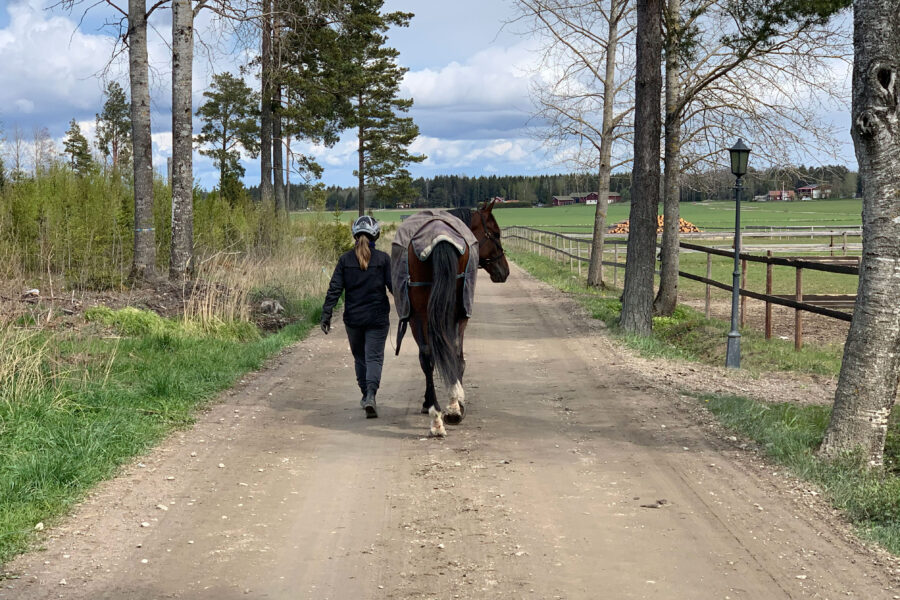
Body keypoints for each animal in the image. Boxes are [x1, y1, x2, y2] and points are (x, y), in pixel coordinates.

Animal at [400, 202, 506, 436]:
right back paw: (450, 409)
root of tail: (438, 237)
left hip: (419, 315)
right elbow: (457, 356)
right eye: (495, 233)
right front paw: (456, 402)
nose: (505, 270)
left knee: (428, 355)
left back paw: (437, 414)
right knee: (452, 352)